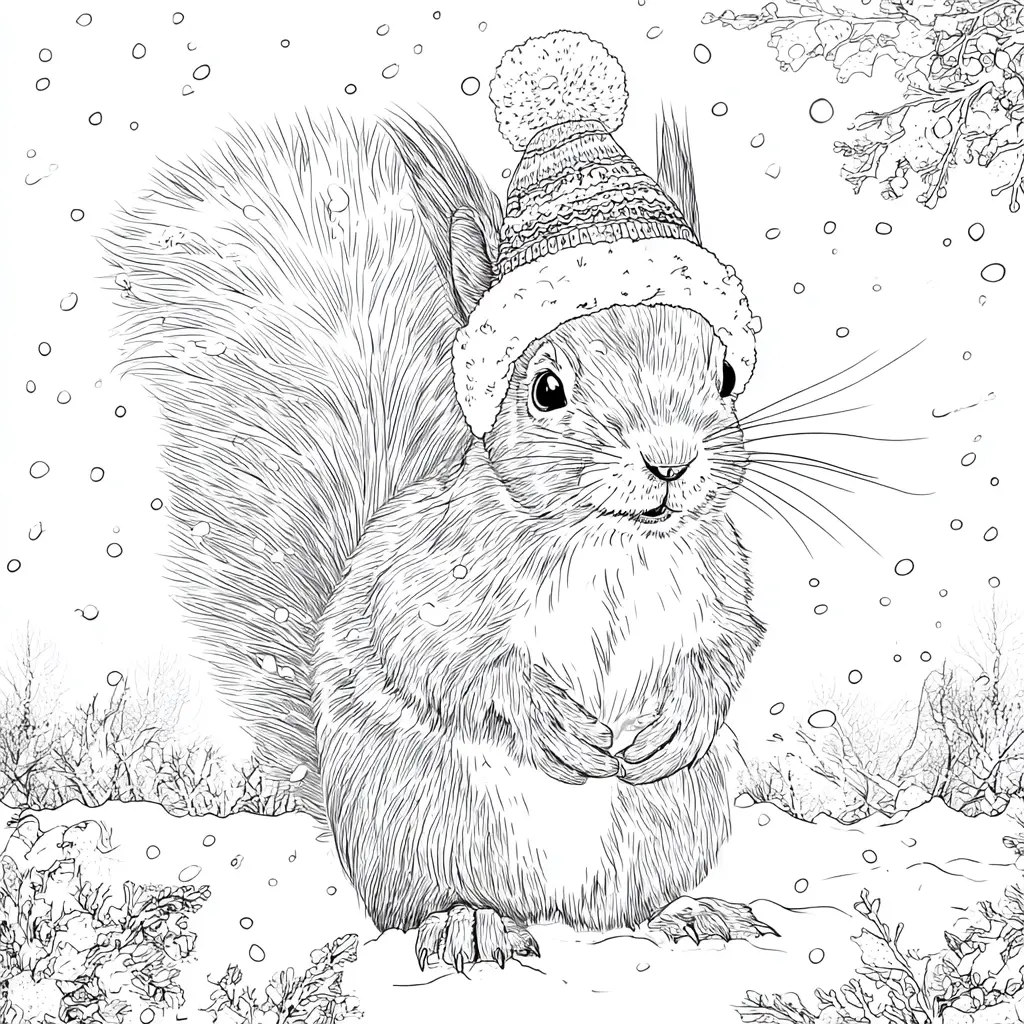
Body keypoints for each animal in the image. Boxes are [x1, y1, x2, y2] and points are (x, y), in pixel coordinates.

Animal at [104, 30, 773, 969]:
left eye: (723, 373)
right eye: (546, 388)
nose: (671, 462)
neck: (610, 544)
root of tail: (553, 908)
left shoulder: (717, 574)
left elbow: (729, 643)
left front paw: (679, 717)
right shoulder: (432, 580)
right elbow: (440, 655)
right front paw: (548, 720)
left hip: (670, 820)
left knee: (627, 907)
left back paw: (688, 912)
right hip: (420, 823)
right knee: (422, 905)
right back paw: (469, 923)